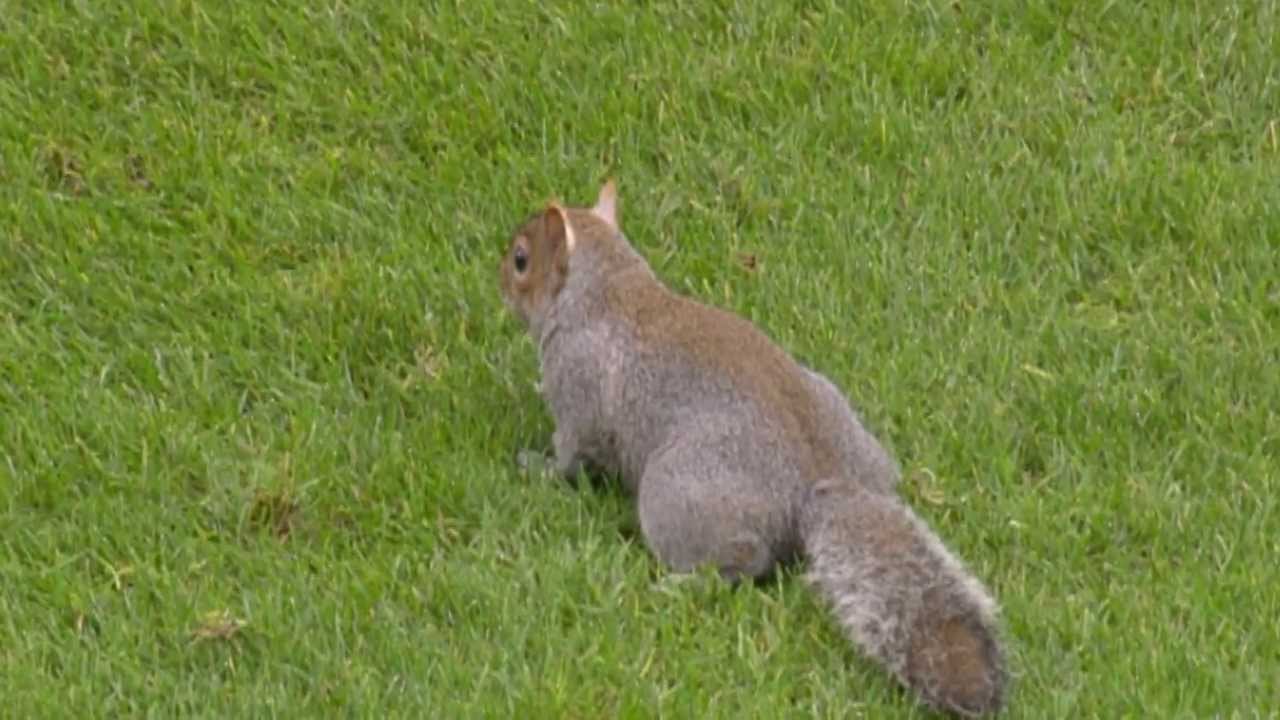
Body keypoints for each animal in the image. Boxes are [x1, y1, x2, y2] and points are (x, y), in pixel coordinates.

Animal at [498, 181, 1008, 717]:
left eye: (521, 259)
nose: (499, 281)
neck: (607, 290)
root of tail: (820, 477)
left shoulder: (578, 395)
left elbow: (570, 456)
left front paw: (535, 465)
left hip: (678, 496)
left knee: (745, 563)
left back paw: (681, 584)